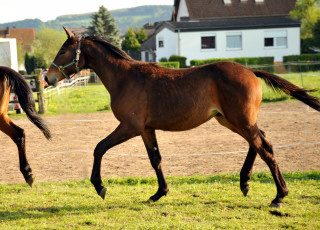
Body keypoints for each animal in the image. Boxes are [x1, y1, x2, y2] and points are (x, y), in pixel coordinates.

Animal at [45, 27, 320, 207]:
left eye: (63, 50)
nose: (48, 78)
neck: (126, 78)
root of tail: (250, 70)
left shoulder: (130, 126)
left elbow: (99, 148)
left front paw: (100, 186)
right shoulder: (146, 129)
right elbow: (155, 159)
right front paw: (159, 193)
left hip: (240, 120)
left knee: (266, 148)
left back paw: (279, 196)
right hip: (231, 120)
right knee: (259, 142)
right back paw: (245, 182)